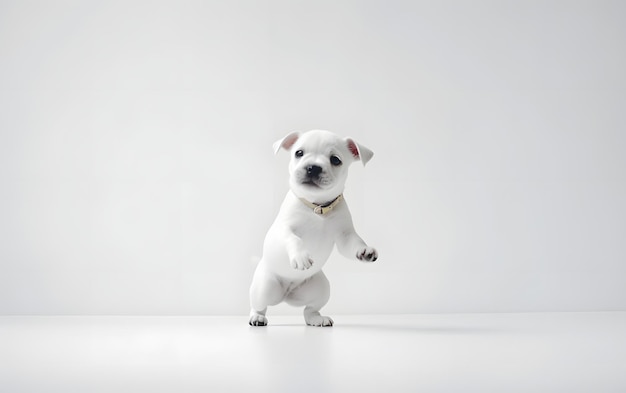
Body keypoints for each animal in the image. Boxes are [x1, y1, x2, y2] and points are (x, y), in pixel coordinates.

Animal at [247, 129, 376, 324]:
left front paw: (364, 250)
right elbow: (293, 238)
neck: (317, 207)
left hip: (322, 289)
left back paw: (317, 320)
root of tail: (287, 293)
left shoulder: (344, 236)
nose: (313, 167)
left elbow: (354, 243)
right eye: (298, 153)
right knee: (259, 304)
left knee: (309, 310)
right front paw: (301, 256)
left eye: (335, 160)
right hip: (265, 286)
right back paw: (257, 317)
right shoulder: (282, 230)